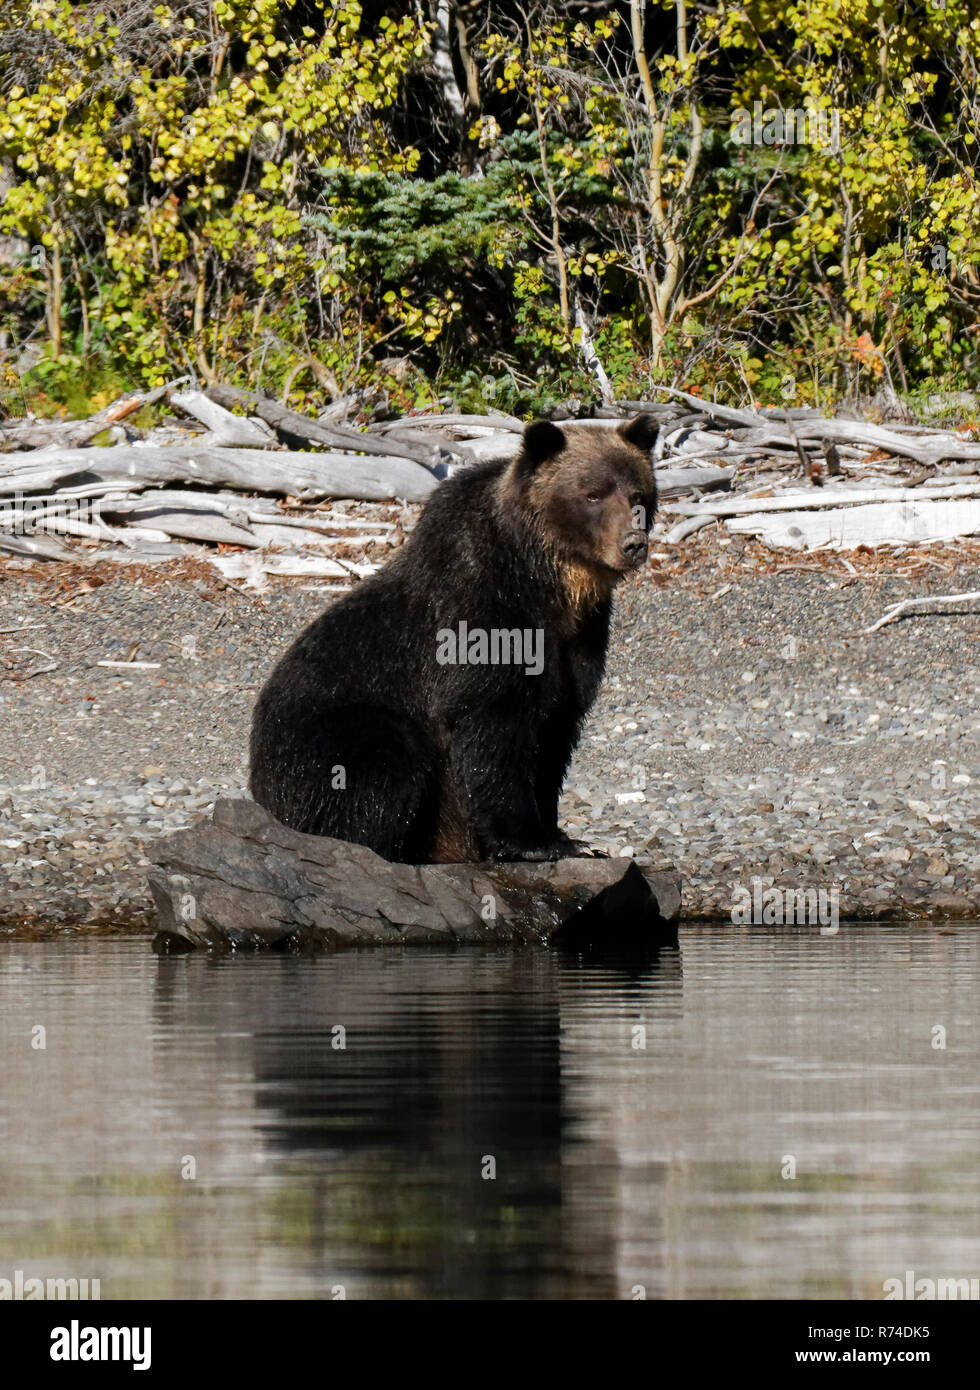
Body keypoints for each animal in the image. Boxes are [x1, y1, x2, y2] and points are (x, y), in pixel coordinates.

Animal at [248, 414, 656, 856]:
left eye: (638, 494)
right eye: (593, 494)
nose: (633, 543)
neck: (548, 583)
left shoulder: (580, 636)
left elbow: (557, 729)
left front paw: (562, 834)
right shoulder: (480, 611)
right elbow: (494, 726)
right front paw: (530, 839)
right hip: (327, 733)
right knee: (380, 765)